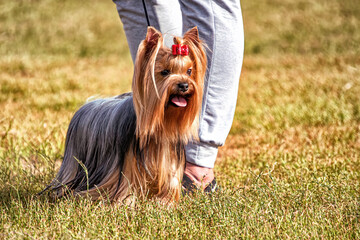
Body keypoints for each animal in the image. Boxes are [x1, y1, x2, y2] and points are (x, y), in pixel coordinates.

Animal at [44, 26, 207, 203]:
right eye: (165, 72)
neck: (162, 121)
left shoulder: (169, 156)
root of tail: (87, 104)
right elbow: (126, 184)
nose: (184, 85)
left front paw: (165, 202)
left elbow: (170, 180)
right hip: (74, 162)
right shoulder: (126, 162)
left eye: (189, 71)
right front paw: (126, 202)